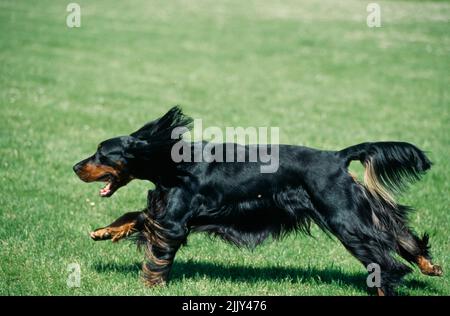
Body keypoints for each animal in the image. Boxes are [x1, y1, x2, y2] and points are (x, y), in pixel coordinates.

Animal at [72, 107, 442, 296]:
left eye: (102, 153)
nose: (75, 166)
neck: (171, 161)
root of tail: (337, 156)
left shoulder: (173, 221)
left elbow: (155, 254)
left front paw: (149, 285)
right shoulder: (164, 210)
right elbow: (136, 215)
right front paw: (104, 231)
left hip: (345, 218)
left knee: (384, 260)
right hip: (356, 212)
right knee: (396, 231)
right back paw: (429, 266)